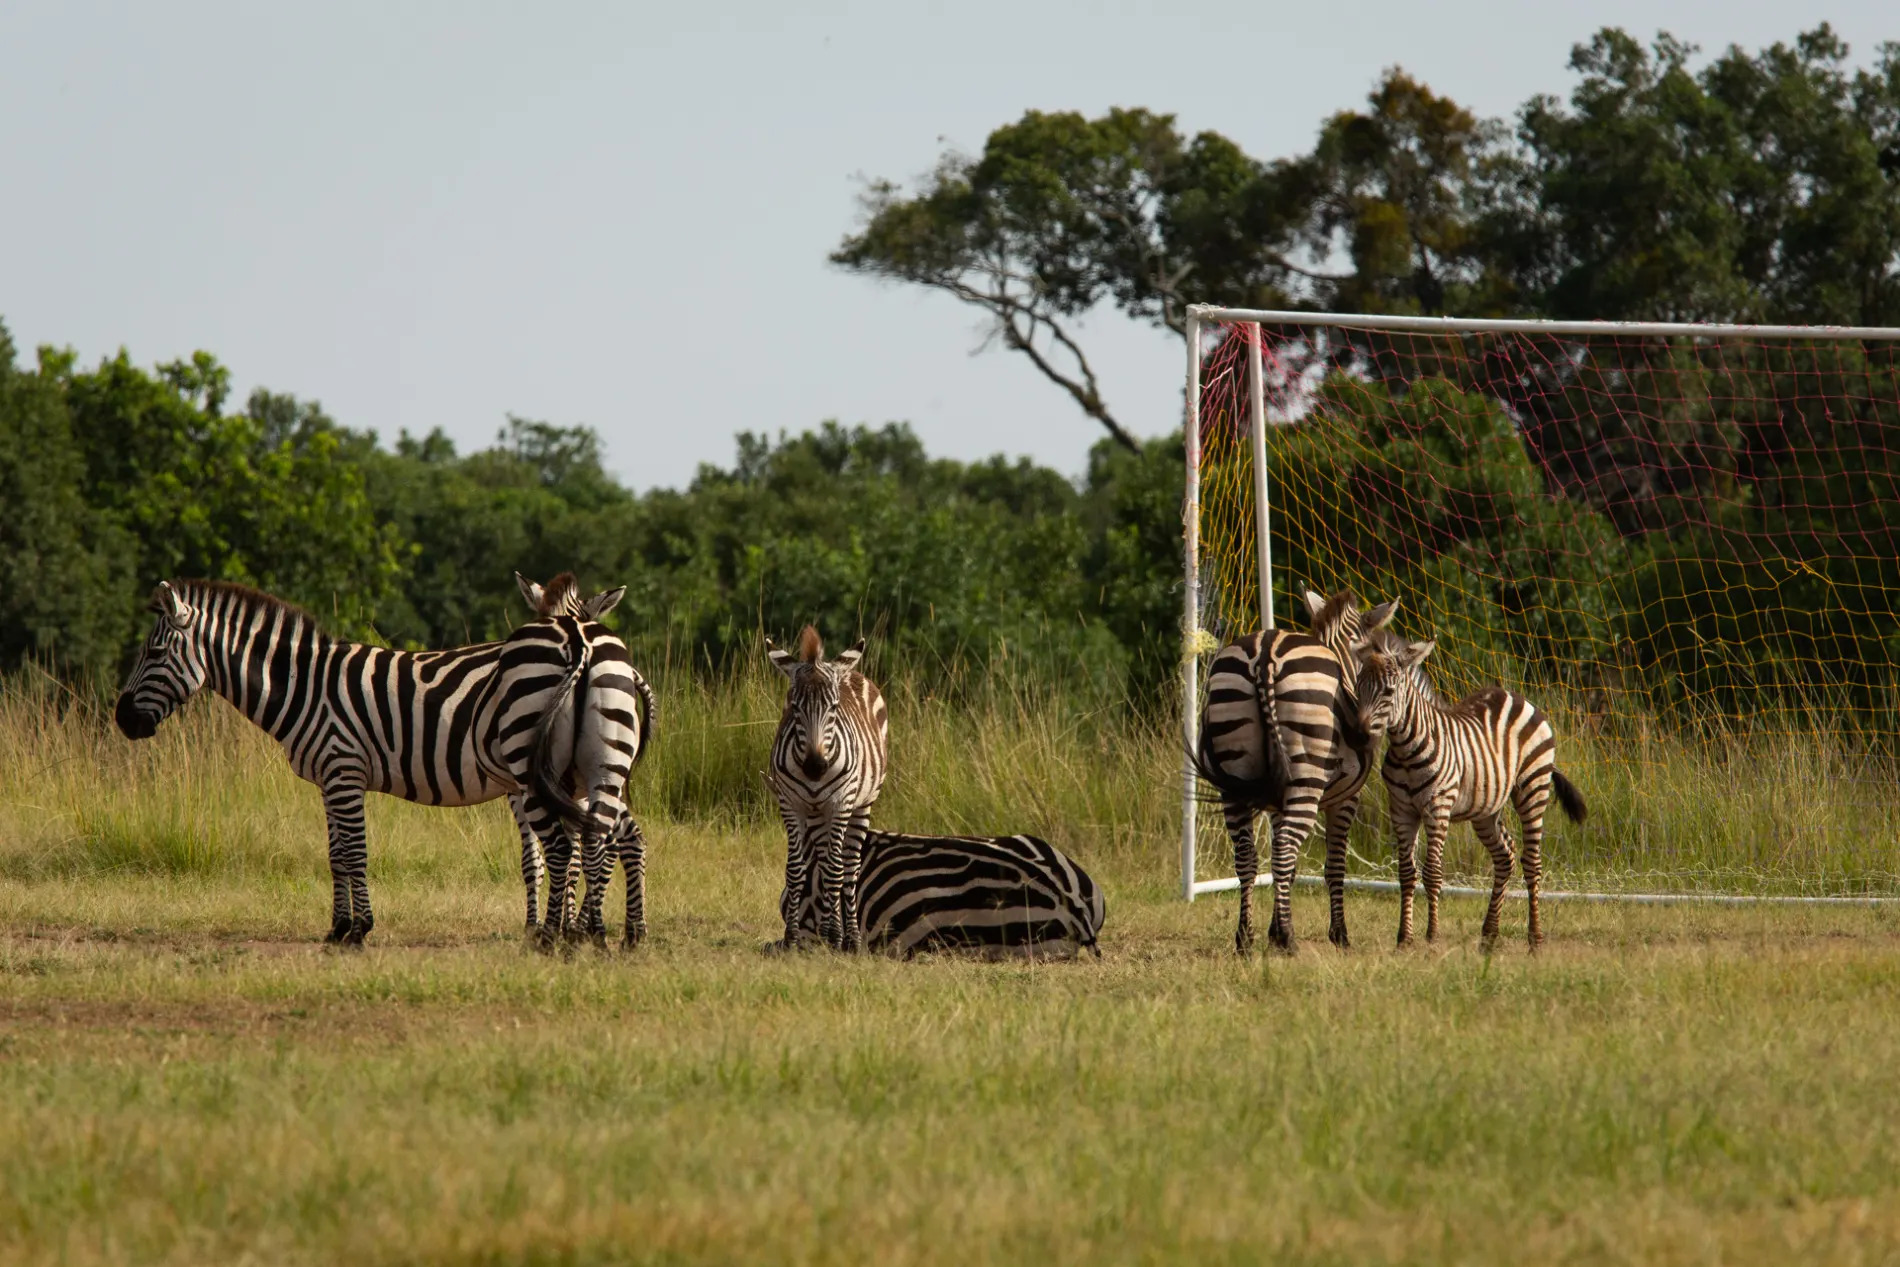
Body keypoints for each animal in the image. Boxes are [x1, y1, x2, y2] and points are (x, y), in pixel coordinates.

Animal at [114, 581, 623, 945]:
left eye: (153, 652)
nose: (122, 719)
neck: (306, 688)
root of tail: (573, 636)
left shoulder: (344, 769)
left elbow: (355, 852)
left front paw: (360, 929)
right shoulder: (328, 778)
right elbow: (336, 855)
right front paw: (338, 928)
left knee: (574, 845)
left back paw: (564, 932)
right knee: (588, 841)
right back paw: (576, 929)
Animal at [497, 573, 661, 949]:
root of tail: (579, 643)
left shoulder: (519, 790)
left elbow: (536, 857)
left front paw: (542, 924)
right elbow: (570, 854)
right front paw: (568, 922)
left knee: (579, 845)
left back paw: (567, 930)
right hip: (608, 768)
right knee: (602, 841)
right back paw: (606, 930)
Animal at [763, 623, 889, 949]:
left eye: (833, 707)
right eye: (794, 707)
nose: (815, 767)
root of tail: (853, 673)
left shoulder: (840, 803)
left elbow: (836, 870)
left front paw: (841, 938)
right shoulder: (790, 803)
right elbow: (796, 869)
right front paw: (792, 937)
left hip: (861, 804)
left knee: (848, 867)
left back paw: (848, 936)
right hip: (816, 811)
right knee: (822, 860)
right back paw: (829, 929)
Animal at [1193, 592, 1406, 949]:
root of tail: (1265, 654)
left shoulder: (1278, 801)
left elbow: (1289, 870)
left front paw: (1273, 929)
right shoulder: (1346, 798)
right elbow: (1335, 864)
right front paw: (1338, 934)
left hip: (1233, 781)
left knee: (1247, 856)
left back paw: (1245, 937)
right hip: (1306, 778)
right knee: (1283, 848)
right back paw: (1289, 939)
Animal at [1352, 630, 1588, 945]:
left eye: (1388, 692)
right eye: (1358, 688)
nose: (1358, 735)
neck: (1405, 749)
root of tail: (1514, 696)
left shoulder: (1437, 807)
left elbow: (1432, 872)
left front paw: (1432, 936)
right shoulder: (1401, 810)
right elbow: (1406, 872)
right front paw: (1404, 938)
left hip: (1533, 787)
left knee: (1532, 863)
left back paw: (1535, 938)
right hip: (1487, 809)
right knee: (1505, 856)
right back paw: (1489, 933)